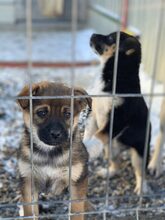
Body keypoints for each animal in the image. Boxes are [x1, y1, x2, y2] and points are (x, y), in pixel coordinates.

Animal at [17, 81, 92, 219]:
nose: (56, 134)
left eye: (68, 114)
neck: (49, 152)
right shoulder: (28, 181)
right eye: (42, 113)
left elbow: (76, 211)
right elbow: (30, 211)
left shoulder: (76, 181)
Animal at [83, 31, 151, 194]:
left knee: (140, 171)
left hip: (139, 154)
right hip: (110, 149)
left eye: (110, 38)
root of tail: (124, 148)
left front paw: (89, 147)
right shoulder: (94, 112)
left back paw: (141, 188)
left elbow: (100, 133)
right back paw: (108, 172)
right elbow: (90, 131)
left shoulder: (118, 117)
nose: (92, 34)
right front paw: (84, 142)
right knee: (117, 164)